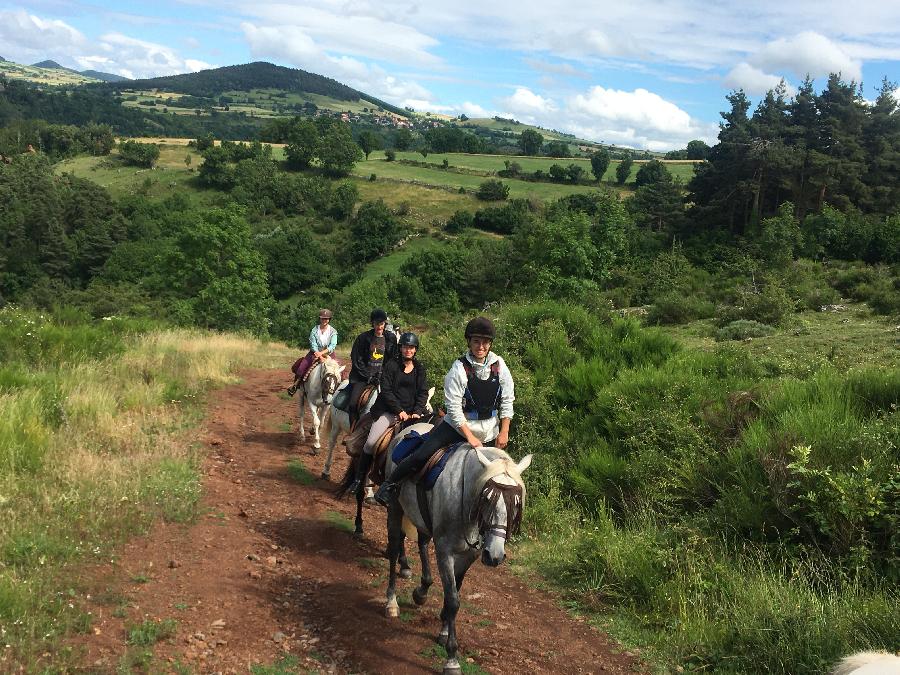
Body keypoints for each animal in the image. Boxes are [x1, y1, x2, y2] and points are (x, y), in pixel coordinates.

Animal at [384, 422, 532, 675]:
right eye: (487, 499)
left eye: (516, 505)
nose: (495, 556)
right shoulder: (446, 552)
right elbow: (453, 599)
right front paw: (451, 658)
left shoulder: (469, 554)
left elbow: (455, 591)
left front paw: (444, 630)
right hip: (395, 508)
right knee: (394, 549)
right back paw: (391, 602)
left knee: (423, 542)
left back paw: (422, 590)